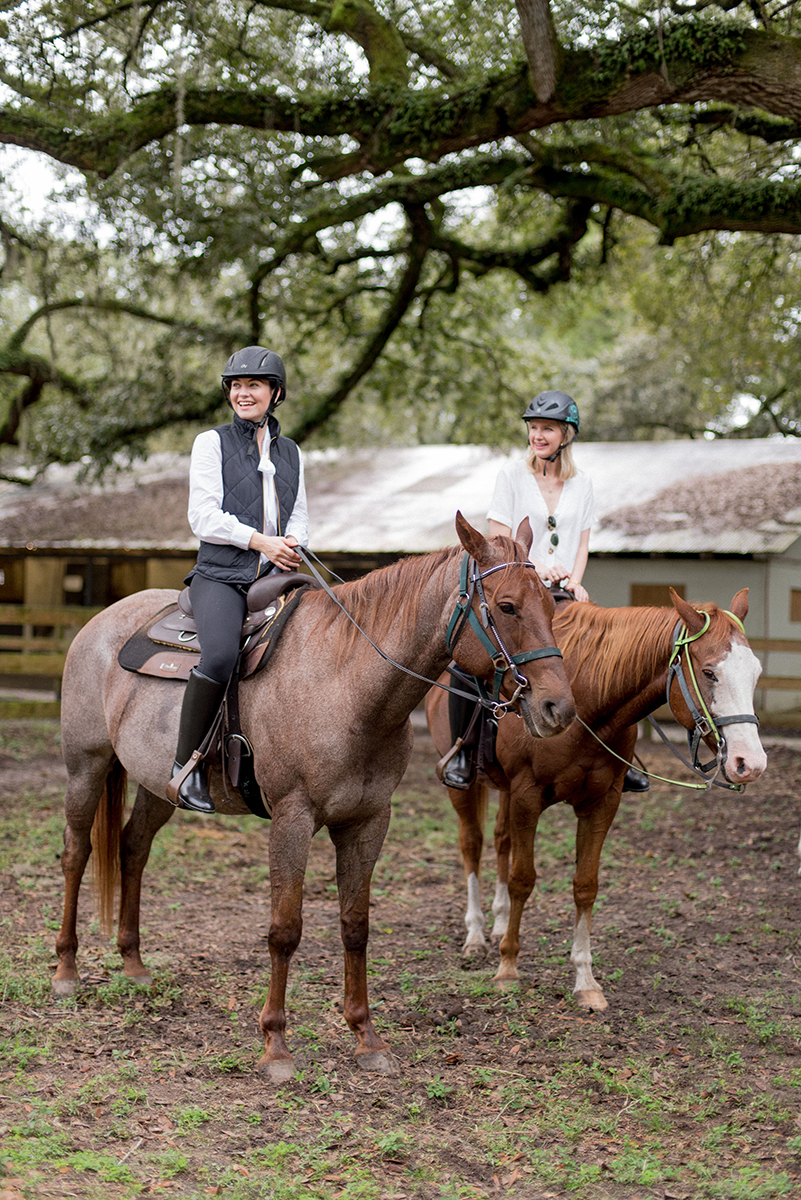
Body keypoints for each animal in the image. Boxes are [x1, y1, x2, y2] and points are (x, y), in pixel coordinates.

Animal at [51, 513, 575, 1080]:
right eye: (507, 606)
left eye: (552, 605)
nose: (558, 709)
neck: (347, 685)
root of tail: (100, 623)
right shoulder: (293, 818)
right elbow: (285, 929)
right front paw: (276, 1046)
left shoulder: (368, 821)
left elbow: (355, 925)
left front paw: (366, 1038)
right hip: (86, 766)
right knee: (77, 852)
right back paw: (66, 969)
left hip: (157, 786)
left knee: (133, 848)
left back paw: (133, 963)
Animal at [429, 585, 767, 1008]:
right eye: (709, 672)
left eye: (755, 672)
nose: (750, 763)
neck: (586, 701)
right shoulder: (527, 796)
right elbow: (524, 879)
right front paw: (508, 969)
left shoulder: (602, 803)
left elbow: (585, 886)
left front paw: (585, 981)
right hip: (466, 787)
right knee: (472, 845)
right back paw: (476, 935)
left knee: (501, 841)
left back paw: (499, 922)